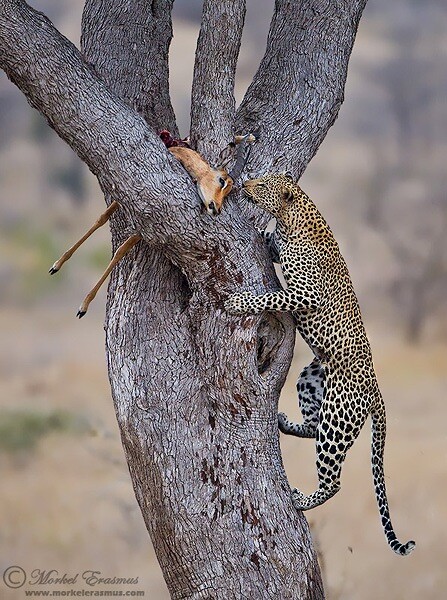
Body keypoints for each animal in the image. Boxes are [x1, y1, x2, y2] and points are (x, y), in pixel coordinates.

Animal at [226, 173, 418, 556]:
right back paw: (284, 422)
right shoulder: (279, 249)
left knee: (334, 478)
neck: (292, 219)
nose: (243, 184)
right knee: (312, 426)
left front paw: (239, 302)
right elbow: (269, 244)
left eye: (262, 186)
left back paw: (302, 499)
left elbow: (269, 297)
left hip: (338, 416)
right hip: (311, 379)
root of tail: (376, 391)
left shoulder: (305, 293)